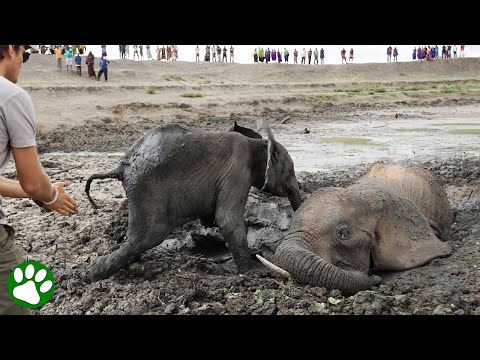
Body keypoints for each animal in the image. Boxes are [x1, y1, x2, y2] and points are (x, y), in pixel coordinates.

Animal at [85, 120, 300, 282]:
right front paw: (253, 273)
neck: (256, 143)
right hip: (146, 189)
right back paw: (94, 273)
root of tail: (121, 166)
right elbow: (227, 220)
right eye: (289, 171)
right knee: (150, 234)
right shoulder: (237, 173)